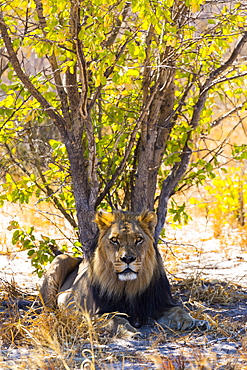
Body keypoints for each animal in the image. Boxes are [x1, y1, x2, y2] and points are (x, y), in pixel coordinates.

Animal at [40, 210, 208, 334]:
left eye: (139, 239)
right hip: (60, 259)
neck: (129, 285)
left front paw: (194, 321)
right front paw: (130, 331)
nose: (127, 258)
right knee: (46, 310)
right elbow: (117, 319)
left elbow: (179, 309)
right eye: (114, 240)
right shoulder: (97, 313)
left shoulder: (160, 304)